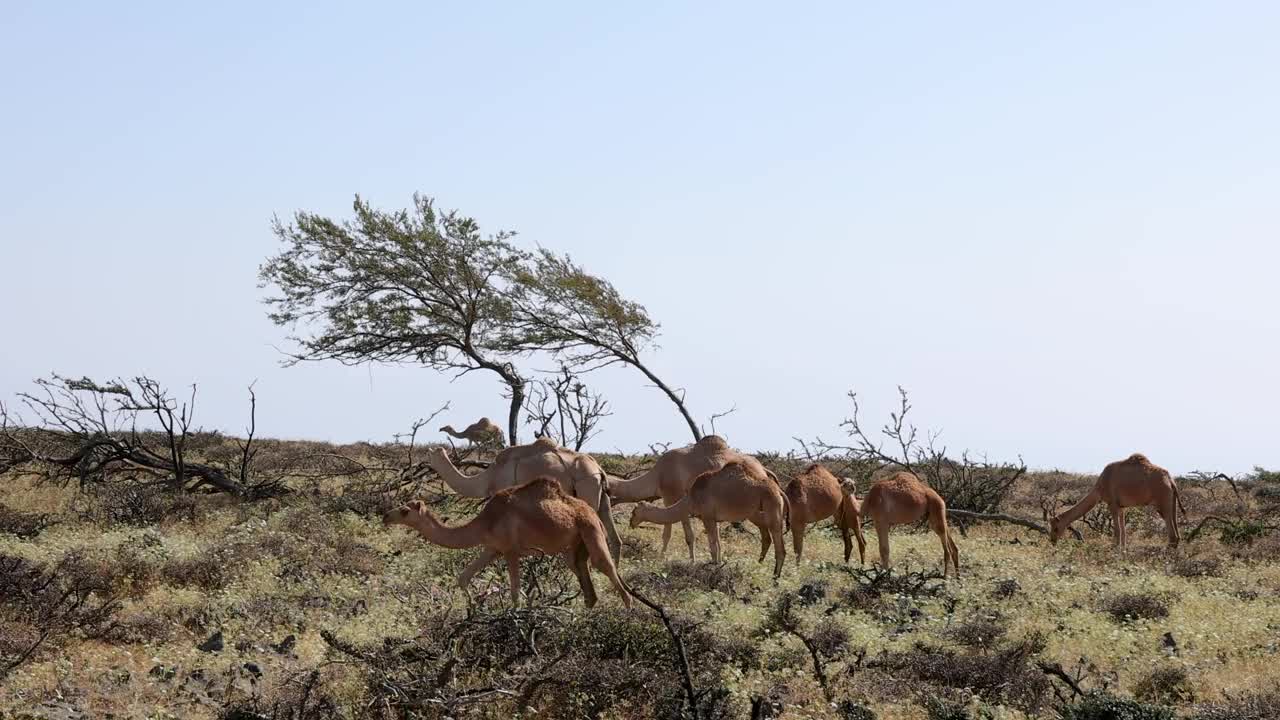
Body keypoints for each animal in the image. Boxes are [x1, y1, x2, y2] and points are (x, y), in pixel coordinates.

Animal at [384, 476, 634, 604]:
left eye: (405, 511)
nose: (386, 516)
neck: (485, 522)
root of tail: (592, 513)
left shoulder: (511, 550)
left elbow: (515, 593)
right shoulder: (493, 548)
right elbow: (463, 577)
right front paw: (472, 609)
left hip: (591, 531)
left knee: (607, 568)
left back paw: (627, 614)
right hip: (574, 548)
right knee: (587, 585)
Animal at [424, 438, 619, 561]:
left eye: (431, 455)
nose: (426, 466)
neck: (488, 477)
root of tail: (599, 470)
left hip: (587, 488)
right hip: (603, 498)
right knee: (614, 537)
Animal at [629, 458, 788, 576]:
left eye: (634, 511)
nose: (631, 523)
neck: (691, 498)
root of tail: (779, 490)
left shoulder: (707, 517)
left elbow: (712, 545)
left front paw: (714, 567)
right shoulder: (714, 519)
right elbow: (717, 543)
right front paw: (718, 565)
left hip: (771, 509)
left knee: (779, 546)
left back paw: (775, 578)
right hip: (761, 513)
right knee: (771, 540)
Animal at [1044, 453, 1182, 548]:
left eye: (1055, 528)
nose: (1052, 541)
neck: (1100, 487)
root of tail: (1171, 481)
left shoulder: (1113, 504)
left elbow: (1117, 532)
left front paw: (1115, 553)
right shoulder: (1121, 507)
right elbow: (1124, 533)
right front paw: (1123, 552)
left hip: (1162, 502)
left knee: (1172, 535)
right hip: (1171, 503)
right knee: (1177, 534)